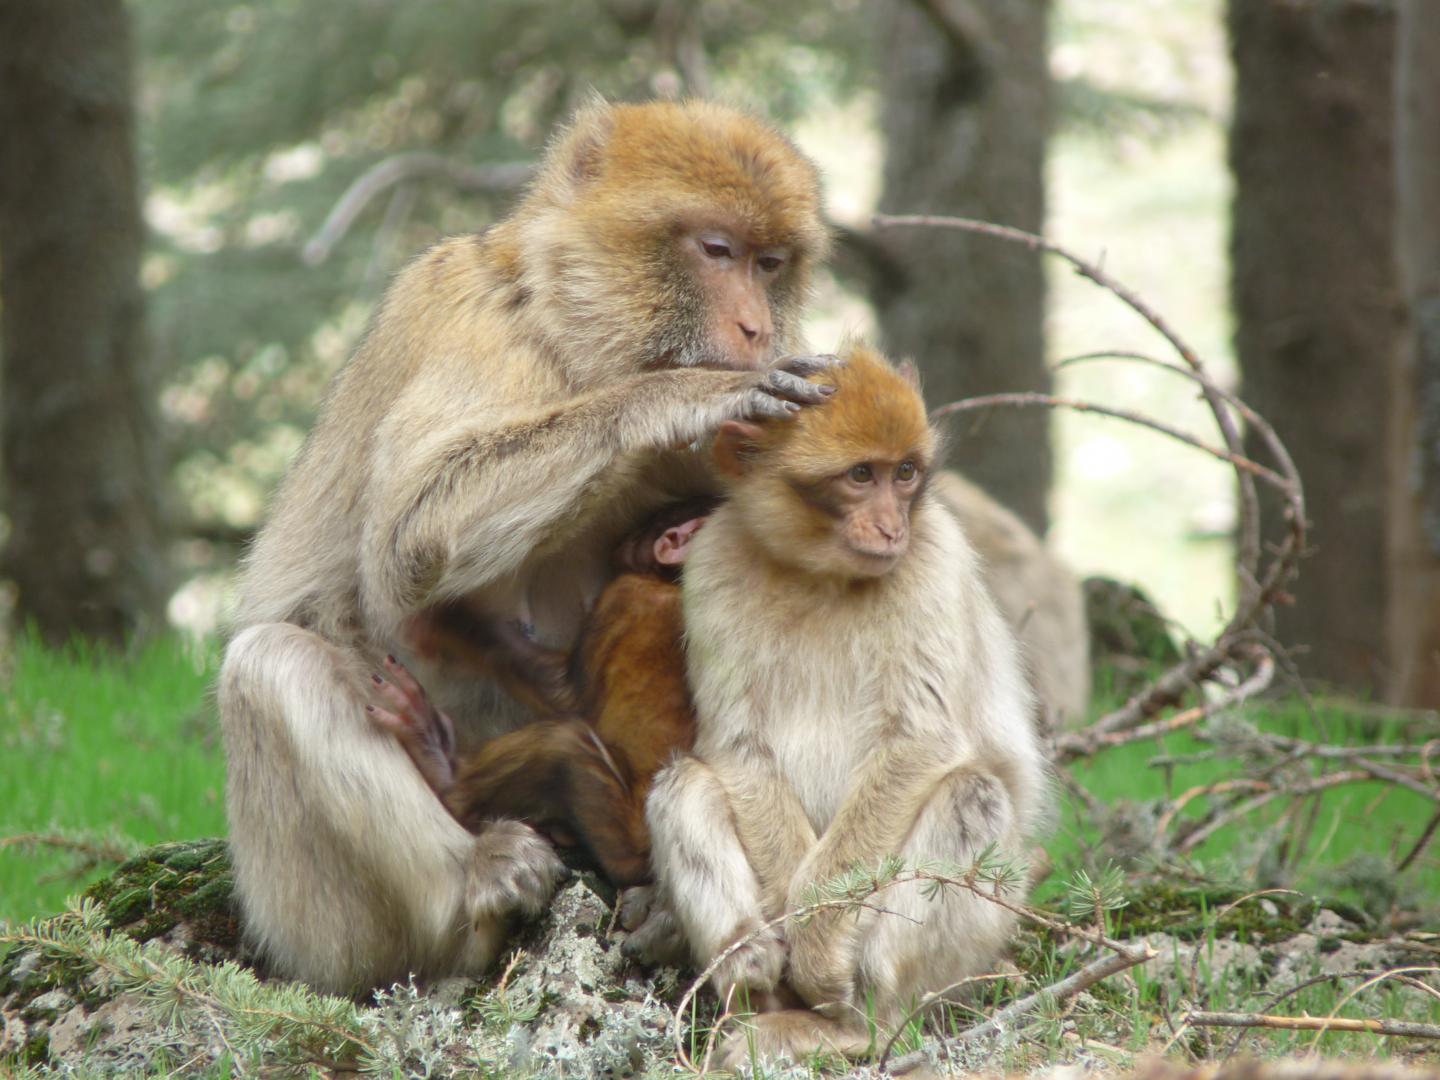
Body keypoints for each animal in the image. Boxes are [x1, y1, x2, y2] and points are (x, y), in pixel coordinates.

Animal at [365, 498, 714, 887]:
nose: (626, 541)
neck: (666, 580)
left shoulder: (624, 595)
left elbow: (567, 696)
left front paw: (453, 622)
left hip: (624, 838)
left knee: (564, 742)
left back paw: (444, 776)